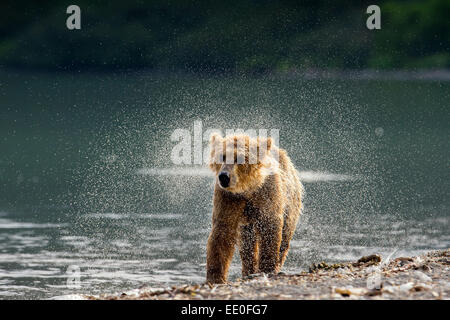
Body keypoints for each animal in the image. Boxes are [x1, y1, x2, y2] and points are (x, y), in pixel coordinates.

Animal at [206, 134, 304, 284]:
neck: (247, 189)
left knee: (285, 237)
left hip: (291, 202)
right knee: (247, 245)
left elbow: (270, 229)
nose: (223, 176)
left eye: (239, 158)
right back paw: (248, 271)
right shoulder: (227, 198)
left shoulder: (267, 194)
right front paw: (215, 277)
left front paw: (266, 268)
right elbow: (222, 232)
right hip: (246, 225)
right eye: (222, 156)